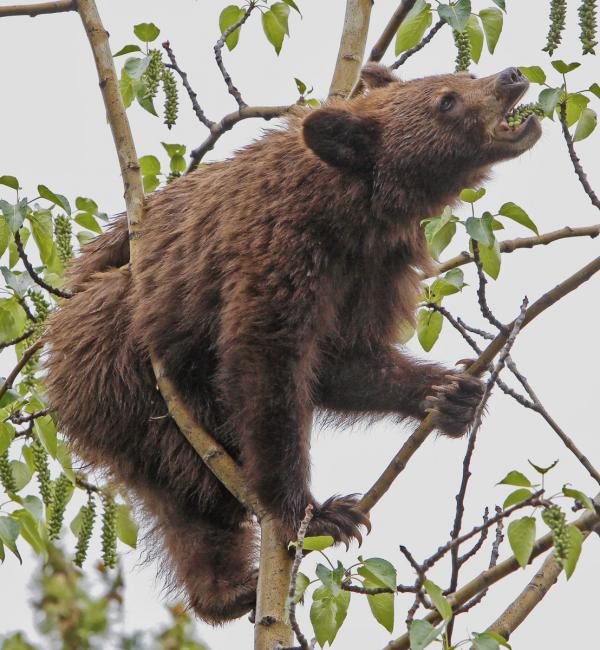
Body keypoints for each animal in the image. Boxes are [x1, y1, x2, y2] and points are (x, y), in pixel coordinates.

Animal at [44, 64, 541, 624]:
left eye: (463, 73)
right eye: (447, 100)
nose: (510, 75)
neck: (354, 211)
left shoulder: (377, 270)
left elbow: (344, 359)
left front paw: (452, 393)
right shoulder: (280, 247)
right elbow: (269, 360)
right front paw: (318, 512)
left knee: (183, 503)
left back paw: (226, 590)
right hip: (119, 364)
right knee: (197, 483)